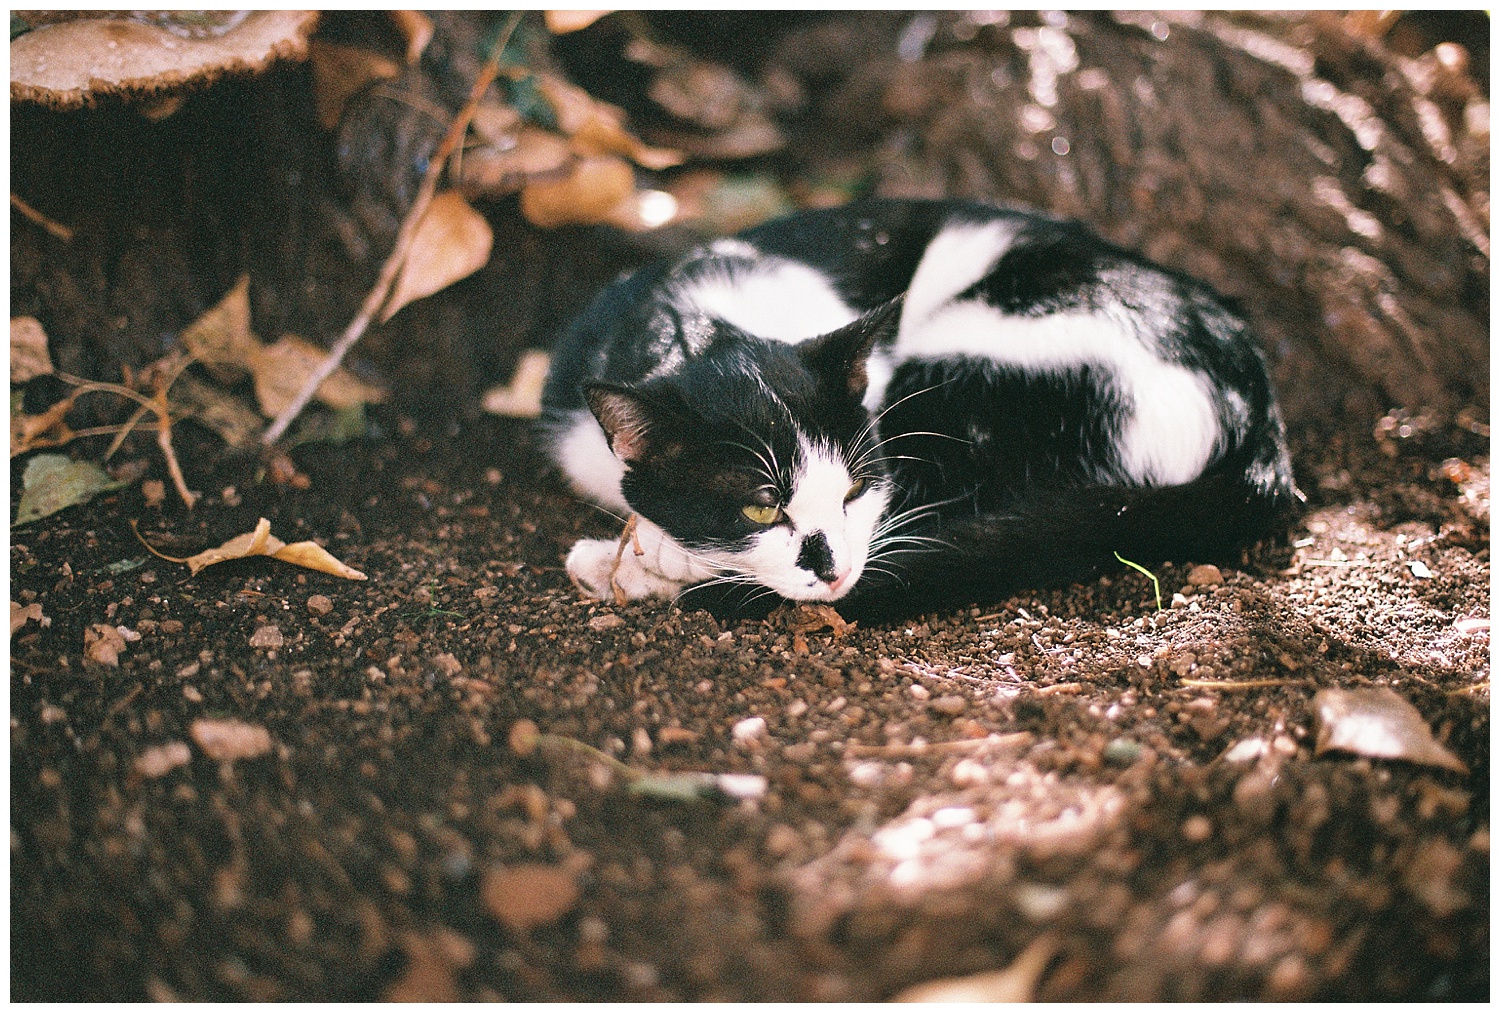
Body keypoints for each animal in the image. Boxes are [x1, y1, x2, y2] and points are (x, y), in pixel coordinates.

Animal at [539, 198, 1298, 622]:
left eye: (851, 490)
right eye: (758, 506)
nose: (834, 568)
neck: (692, 318)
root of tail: (1259, 409)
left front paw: (644, 557)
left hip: (977, 377)